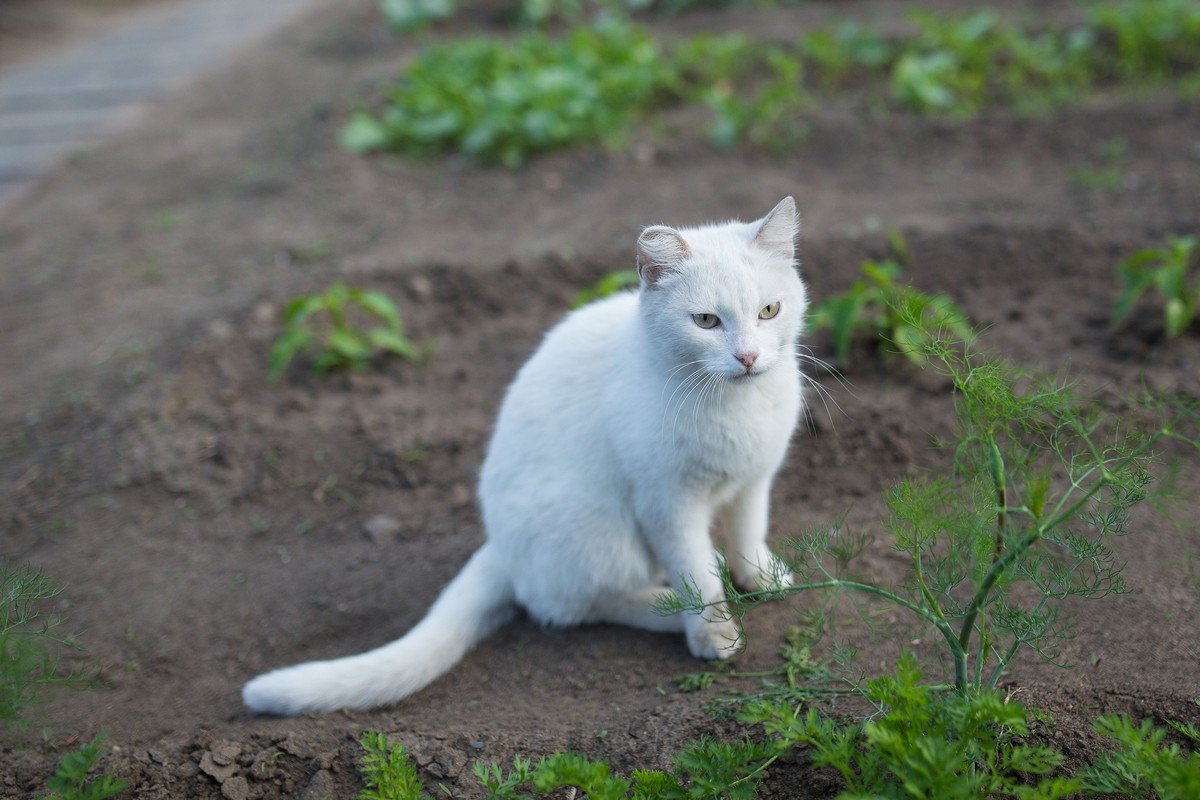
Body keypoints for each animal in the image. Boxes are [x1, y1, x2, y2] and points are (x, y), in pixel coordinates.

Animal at [243, 196, 806, 714]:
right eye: (706, 320)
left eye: (769, 311)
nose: (748, 357)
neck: (735, 405)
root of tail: (499, 545)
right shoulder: (667, 503)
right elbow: (696, 578)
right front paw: (714, 633)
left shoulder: (756, 478)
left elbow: (748, 532)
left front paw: (761, 577)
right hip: (597, 527)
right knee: (569, 605)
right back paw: (663, 606)